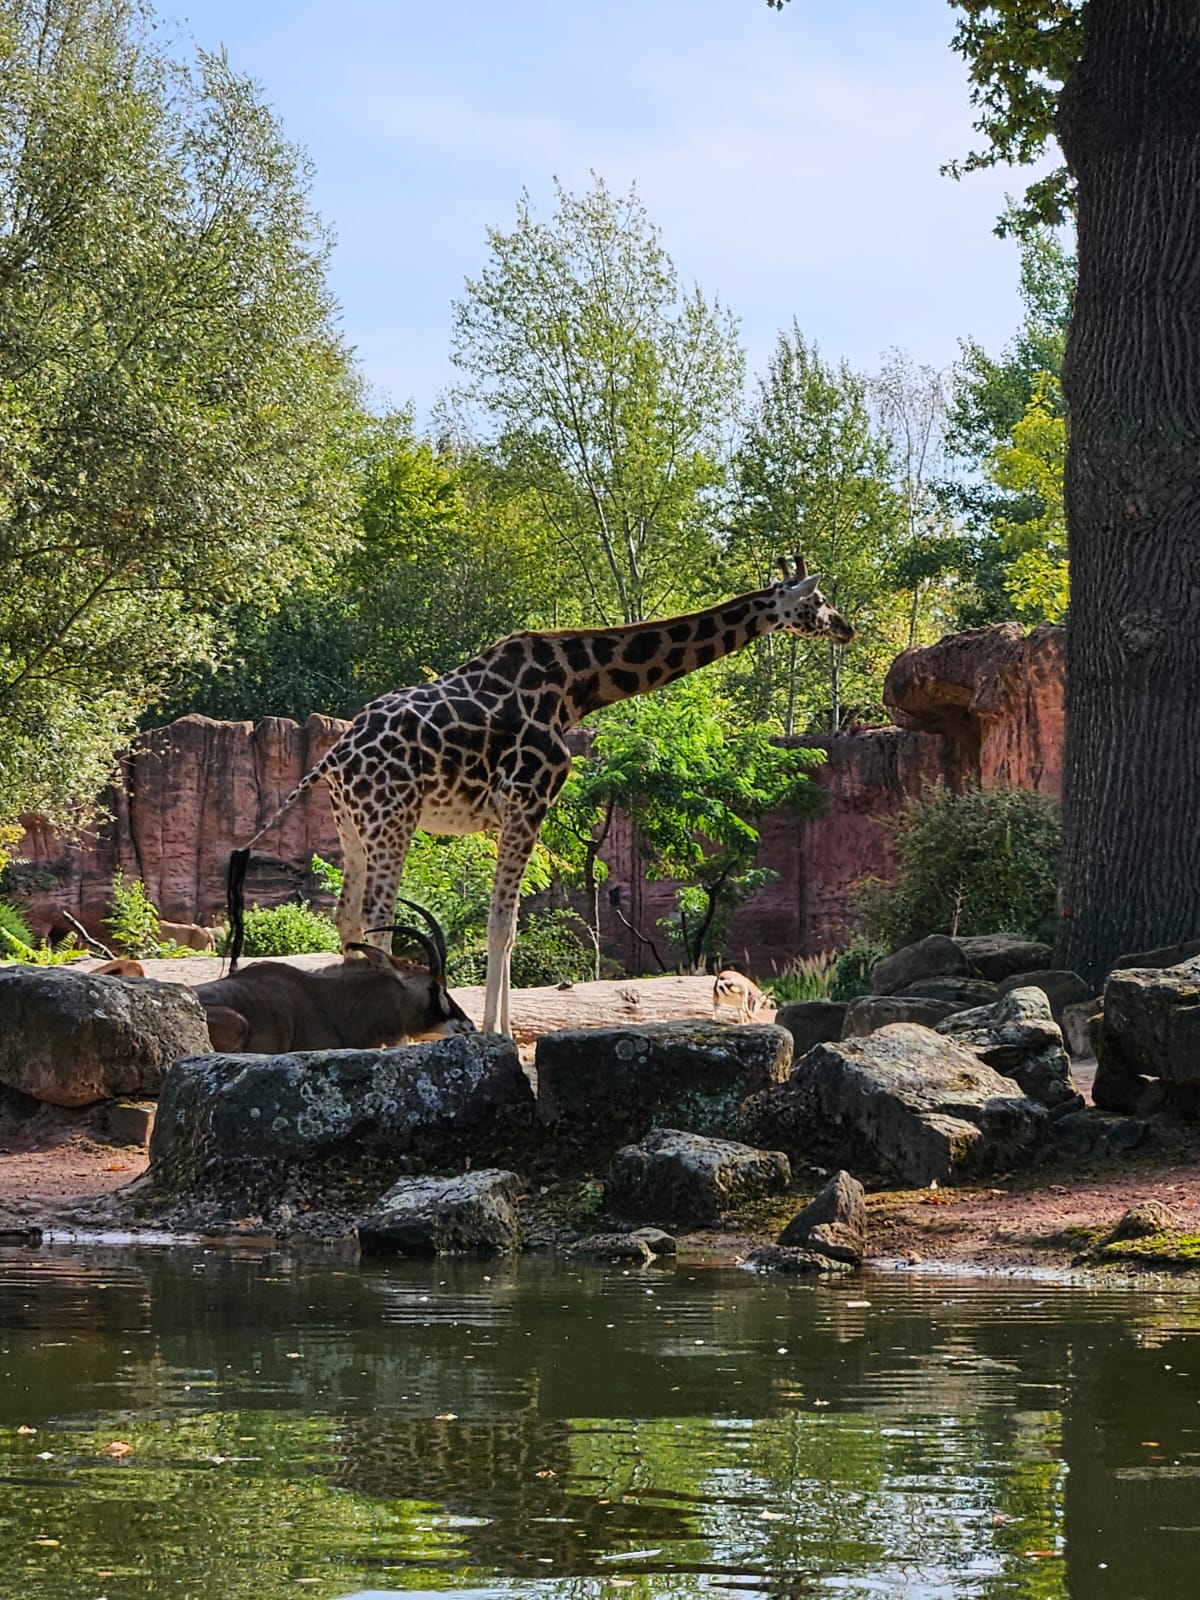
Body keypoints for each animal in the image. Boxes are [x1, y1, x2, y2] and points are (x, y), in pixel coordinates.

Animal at [226, 555, 855, 1035]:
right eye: (820, 601)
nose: (848, 628)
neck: (577, 688)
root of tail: (332, 757)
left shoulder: (513, 813)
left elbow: (509, 927)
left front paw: (496, 1026)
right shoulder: (529, 801)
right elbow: (501, 926)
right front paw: (495, 1033)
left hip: (351, 825)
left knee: (346, 918)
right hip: (393, 817)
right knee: (378, 918)